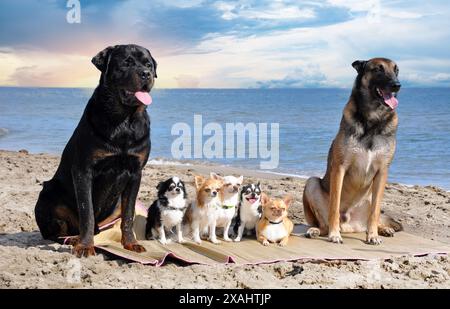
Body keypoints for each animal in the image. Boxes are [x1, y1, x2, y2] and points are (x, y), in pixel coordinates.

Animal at [302, 57, 404, 245]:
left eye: (396, 70)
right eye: (378, 69)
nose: (397, 85)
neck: (372, 119)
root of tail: (350, 226)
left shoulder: (382, 172)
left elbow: (375, 212)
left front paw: (373, 235)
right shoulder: (340, 168)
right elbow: (334, 207)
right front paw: (334, 234)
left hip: (370, 197)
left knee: (373, 218)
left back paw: (383, 230)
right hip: (311, 183)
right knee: (324, 224)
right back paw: (317, 230)